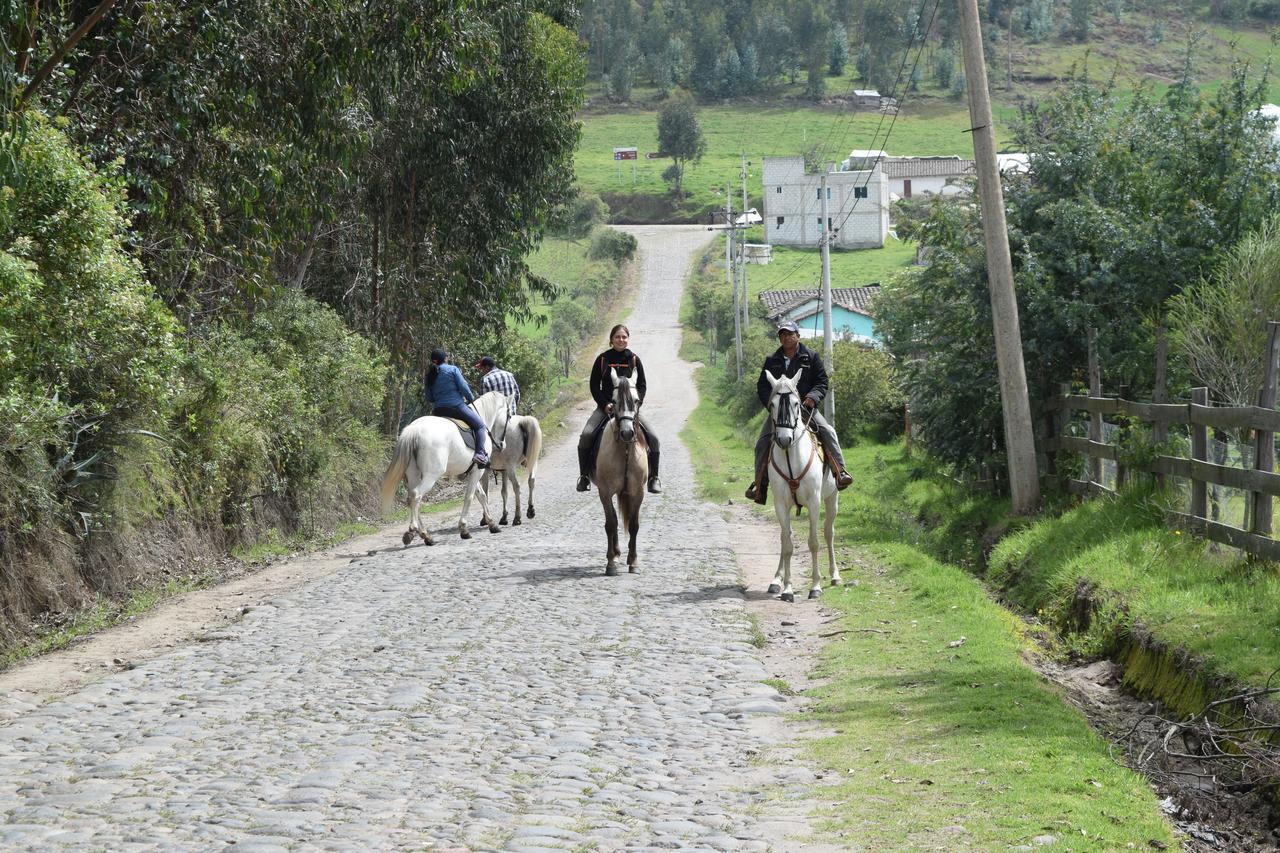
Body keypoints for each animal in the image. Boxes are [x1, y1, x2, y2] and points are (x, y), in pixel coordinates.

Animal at [378, 389, 509, 540]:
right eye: (508, 416)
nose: (502, 445)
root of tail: (415, 429)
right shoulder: (477, 470)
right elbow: (470, 497)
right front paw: (464, 528)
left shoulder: (472, 471)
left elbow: (481, 496)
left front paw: (492, 524)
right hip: (431, 475)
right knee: (416, 495)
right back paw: (413, 531)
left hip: (413, 474)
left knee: (412, 498)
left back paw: (425, 535)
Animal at [591, 368, 645, 573]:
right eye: (613, 401)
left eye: (636, 400)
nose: (627, 433)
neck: (625, 450)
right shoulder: (605, 492)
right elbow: (611, 523)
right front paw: (611, 562)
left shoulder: (637, 492)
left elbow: (634, 525)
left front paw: (634, 561)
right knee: (613, 520)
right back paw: (615, 553)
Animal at [757, 371, 839, 596]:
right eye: (773, 404)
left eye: (796, 403)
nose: (784, 439)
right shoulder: (780, 504)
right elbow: (787, 545)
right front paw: (787, 587)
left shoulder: (814, 502)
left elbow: (814, 542)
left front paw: (816, 585)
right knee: (785, 536)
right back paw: (776, 580)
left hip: (832, 498)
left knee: (829, 533)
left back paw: (835, 576)